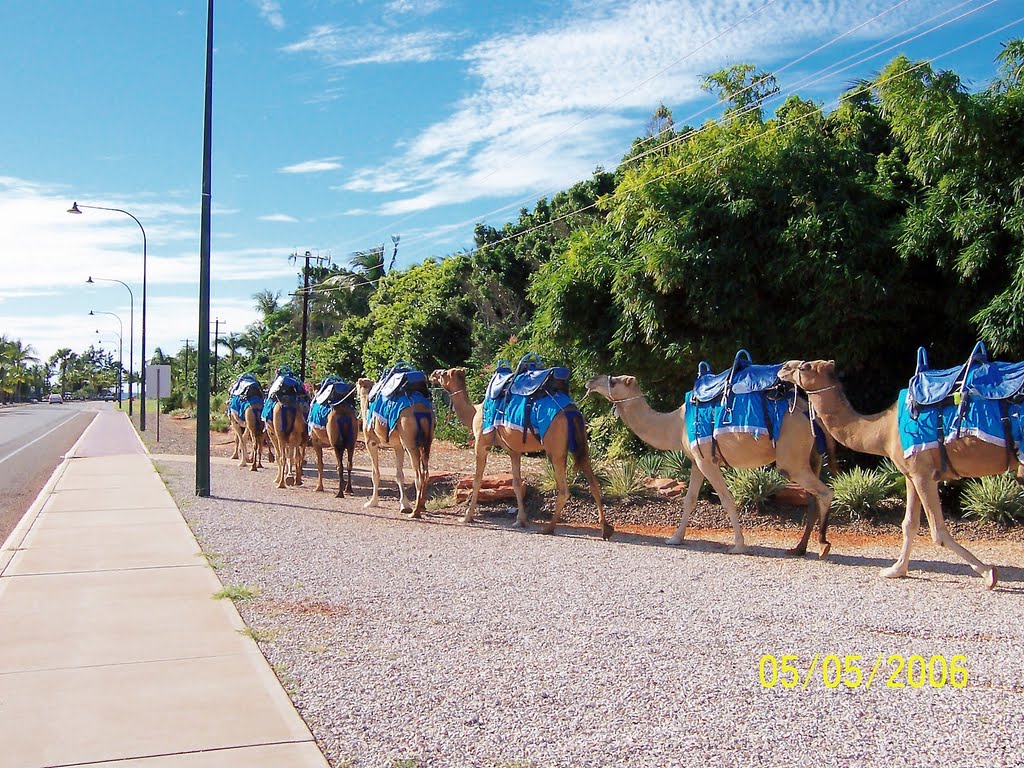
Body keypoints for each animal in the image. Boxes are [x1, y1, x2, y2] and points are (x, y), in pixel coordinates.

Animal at [358, 376, 434, 518]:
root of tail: (422, 411)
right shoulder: (398, 446)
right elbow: (399, 475)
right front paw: (404, 505)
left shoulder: (371, 442)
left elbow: (375, 473)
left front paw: (372, 502)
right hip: (427, 443)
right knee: (426, 473)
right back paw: (421, 506)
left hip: (410, 442)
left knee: (419, 475)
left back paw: (415, 512)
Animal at [430, 368, 606, 540]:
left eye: (444, 374)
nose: (433, 374)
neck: (475, 411)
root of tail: (571, 410)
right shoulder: (513, 451)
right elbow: (516, 483)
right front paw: (520, 520)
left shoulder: (481, 444)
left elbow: (477, 480)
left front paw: (467, 517)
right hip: (581, 443)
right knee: (593, 481)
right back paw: (605, 529)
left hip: (555, 449)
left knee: (564, 489)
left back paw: (548, 528)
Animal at [585, 376, 831, 557]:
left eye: (616, 380)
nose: (591, 381)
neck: (675, 425)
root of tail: (809, 413)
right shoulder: (696, 461)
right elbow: (690, 499)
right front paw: (675, 538)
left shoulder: (707, 461)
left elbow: (727, 499)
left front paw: (738, 545)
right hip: (810, 457)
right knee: (812, 498)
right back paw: (799, 548)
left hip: (792, 458)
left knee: (825, 492)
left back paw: (823, 545)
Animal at [774, 360, 999, 589]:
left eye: (805, 367)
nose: (783, 368)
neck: (883, 431)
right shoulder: (912, 475)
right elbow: (909, 524)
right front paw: (896, 570)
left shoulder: (923, 474)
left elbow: (938, 531)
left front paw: (989, 573)